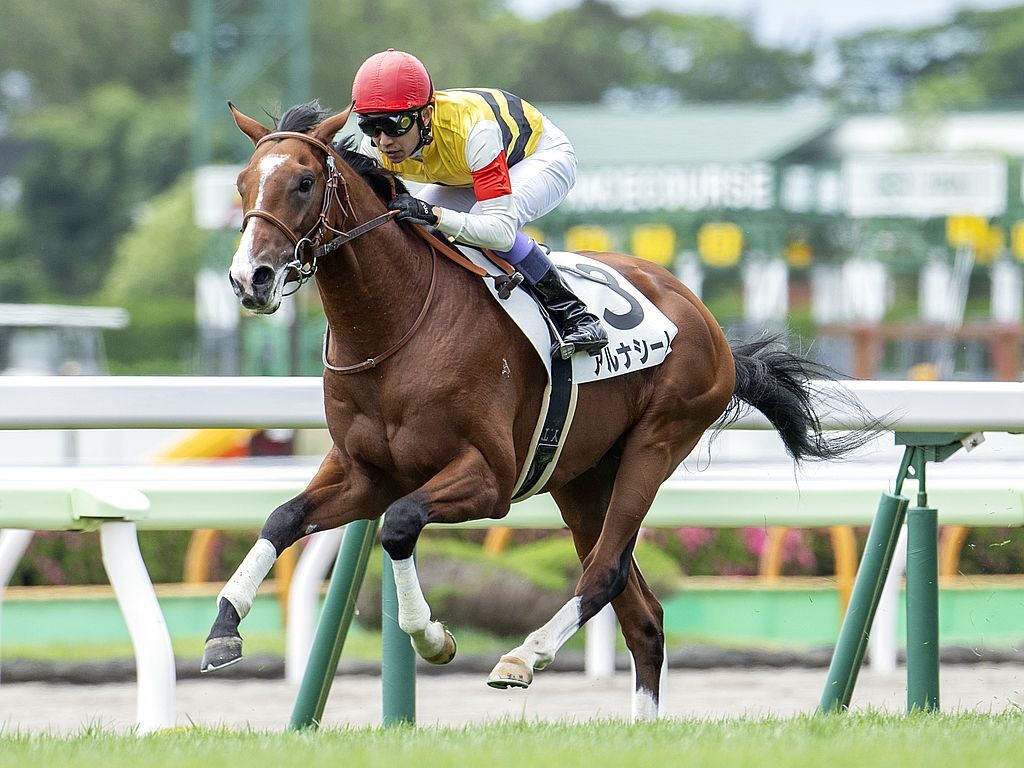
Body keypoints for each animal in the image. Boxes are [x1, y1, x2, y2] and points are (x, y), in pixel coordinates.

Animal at [204, 100, 873, 720]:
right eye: (241, 182)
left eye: (303, 182)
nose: (249, 278)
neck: (395, 328)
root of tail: (704, 318)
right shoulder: (364, 472)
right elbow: (283, 519)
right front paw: (223, 629)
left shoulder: (488, 477)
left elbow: (398, 524)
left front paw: (434, 637)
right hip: (580, 477)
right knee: (643, 615)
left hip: (656, 442)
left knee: (605, 573)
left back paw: (523, 657)